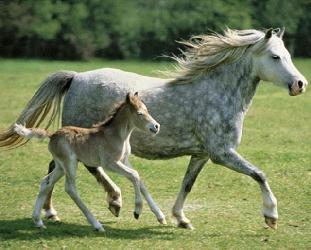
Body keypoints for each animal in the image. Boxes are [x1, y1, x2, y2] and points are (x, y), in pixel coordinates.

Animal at [0, 28, 308, 229]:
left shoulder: (202, 154)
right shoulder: (223, 153)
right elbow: (259, 174)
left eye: (287, 54)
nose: (300, 84)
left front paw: (180, 218)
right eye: (275, 57)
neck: (217, 92)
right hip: (81, 139)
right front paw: (271, 216)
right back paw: (100, 203)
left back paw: (62, 211)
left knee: (60, 170)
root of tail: (76, 77)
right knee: (74, 169)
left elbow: (187, 184)